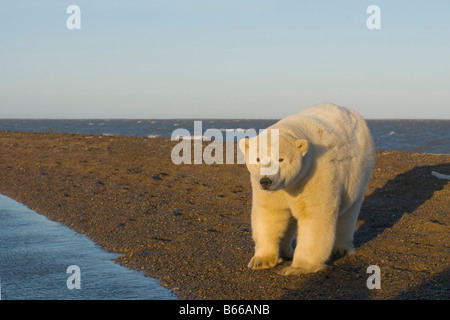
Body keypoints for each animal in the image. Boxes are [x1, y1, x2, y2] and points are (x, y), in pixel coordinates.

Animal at [239, 102, 376, 276]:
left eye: (281, 159)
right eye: (257, 158)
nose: (266, 181)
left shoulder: (315, 174)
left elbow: (314, 215)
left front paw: (297, 267)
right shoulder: (271, 189)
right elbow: (271, 212)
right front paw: (261, 261)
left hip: (358, 175)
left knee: (348, 214)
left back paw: (340, 249)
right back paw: (285, 251)